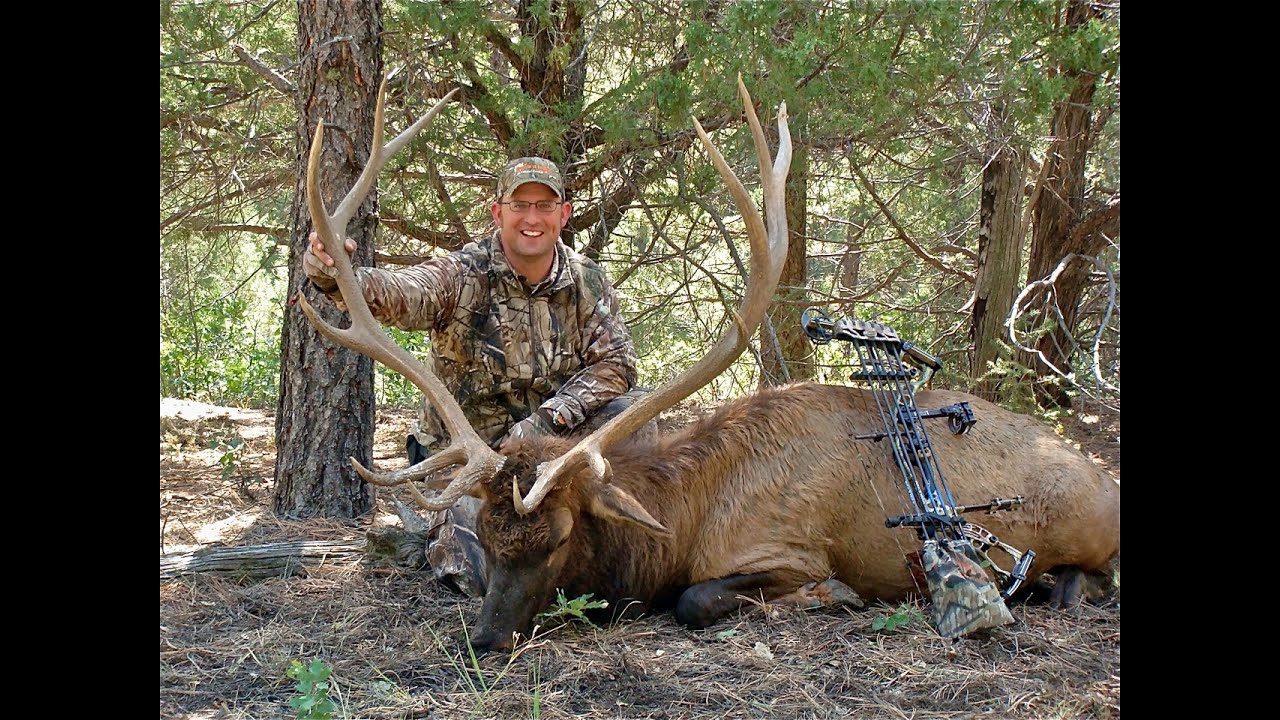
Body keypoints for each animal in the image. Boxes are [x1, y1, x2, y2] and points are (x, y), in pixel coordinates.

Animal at [298, 76, 1120, 653]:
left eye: (558, 539)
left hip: (1077, 529)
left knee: (1090, 572)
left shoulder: (790, 549)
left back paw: (1060, 589)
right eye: (493, 541)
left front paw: (837, 599)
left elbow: (698, 600)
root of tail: (1102, 474)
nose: (486, 639)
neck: (686, 518)